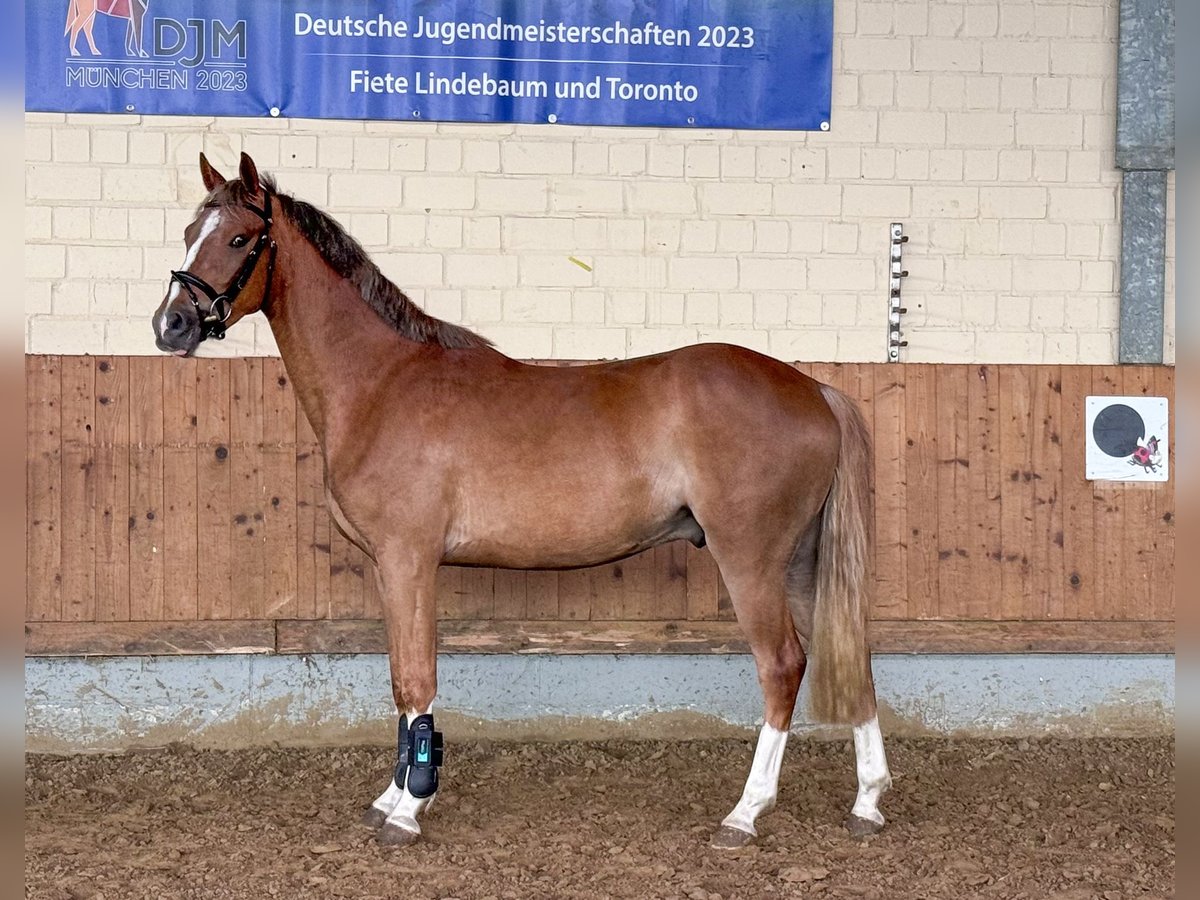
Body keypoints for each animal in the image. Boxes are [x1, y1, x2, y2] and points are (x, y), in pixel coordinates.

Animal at [152, 151, 892, 849]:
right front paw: (392, 797)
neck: (382, 381)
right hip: (801, 561)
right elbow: (398, 682)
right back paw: (868, 802)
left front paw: (409, 809)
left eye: (241, 238)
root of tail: (813, 389)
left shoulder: (408, 560)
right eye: (190, 233)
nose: (172, 324)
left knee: (783, 666)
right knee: (850, 656)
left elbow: (415, 680)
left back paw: (745, 814)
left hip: (751, 559)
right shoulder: (393, 568)